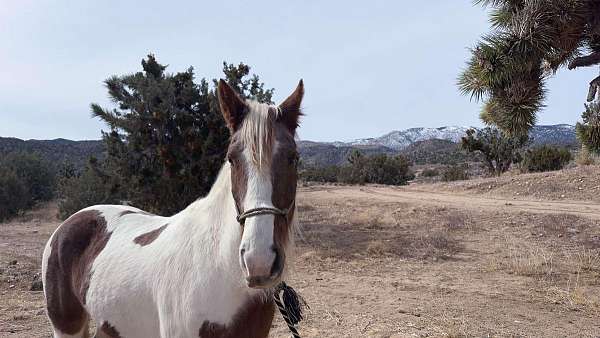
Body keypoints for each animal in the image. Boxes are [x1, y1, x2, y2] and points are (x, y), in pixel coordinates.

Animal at [42, 80, 304, 338]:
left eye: (293, 158)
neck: (220, 266)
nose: (258, 260)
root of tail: (70, 223)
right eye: (232, 159)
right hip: (66, 327)